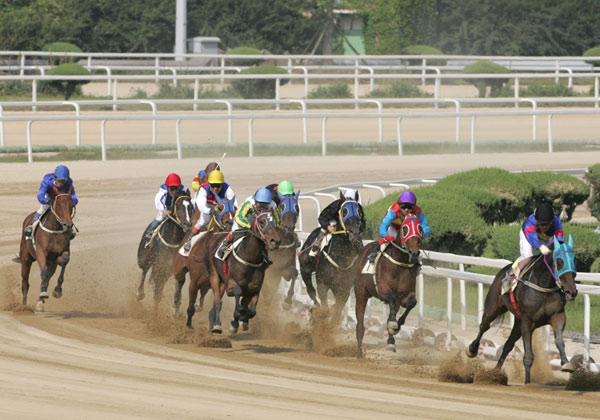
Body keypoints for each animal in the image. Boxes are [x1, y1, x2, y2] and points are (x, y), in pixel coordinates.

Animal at [298, 195, 363, 325]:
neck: (341, 257)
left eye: (359, 211)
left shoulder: (345, 287)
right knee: (310, 290)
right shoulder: (322, 282)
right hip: (305, 268)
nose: (354, 234)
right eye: (344, 211)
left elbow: (337, 309)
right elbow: (325, 308)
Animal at [353, 214, 423, 357]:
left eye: (420, 228)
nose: (414, 253)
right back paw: (359, 353)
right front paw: (393, 324)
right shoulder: (382, 289)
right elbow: (391, 298)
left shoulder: (405, 295)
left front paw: (396, 326)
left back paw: (391, 342)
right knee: (360, 324)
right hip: (361, 293)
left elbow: (412, 302)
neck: (400, 263)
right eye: (405, 229)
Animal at [466, 235, 578, 384]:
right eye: (559, 262)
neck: (545, 286)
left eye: (574, 260)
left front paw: (566, 363)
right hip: (493, 308)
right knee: (484, 326)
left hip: (518, 323)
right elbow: (529, 356)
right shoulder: (527, 321)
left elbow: (559, 341)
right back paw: (472, 350)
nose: (572, 292)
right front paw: (527, 383)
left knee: (508, 344)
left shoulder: (558, 316)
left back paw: (495, 373)